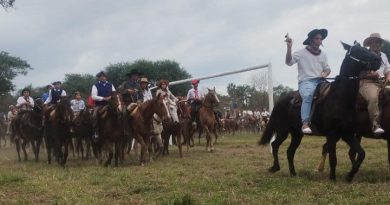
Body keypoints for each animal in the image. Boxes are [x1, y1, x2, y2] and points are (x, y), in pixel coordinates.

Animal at [258, 41, 382, 181]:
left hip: (297, 134)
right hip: (283, 130)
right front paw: (333, 179)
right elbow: (333, 159)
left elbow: (361, 153)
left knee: (290, 151)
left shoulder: (347, 134)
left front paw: (349, 176)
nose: (378, 59)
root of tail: (281, 101)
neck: (340, 99)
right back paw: (275, 167)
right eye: (358, 51)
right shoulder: (332, 135)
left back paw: (293, 173)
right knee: (275, 145)